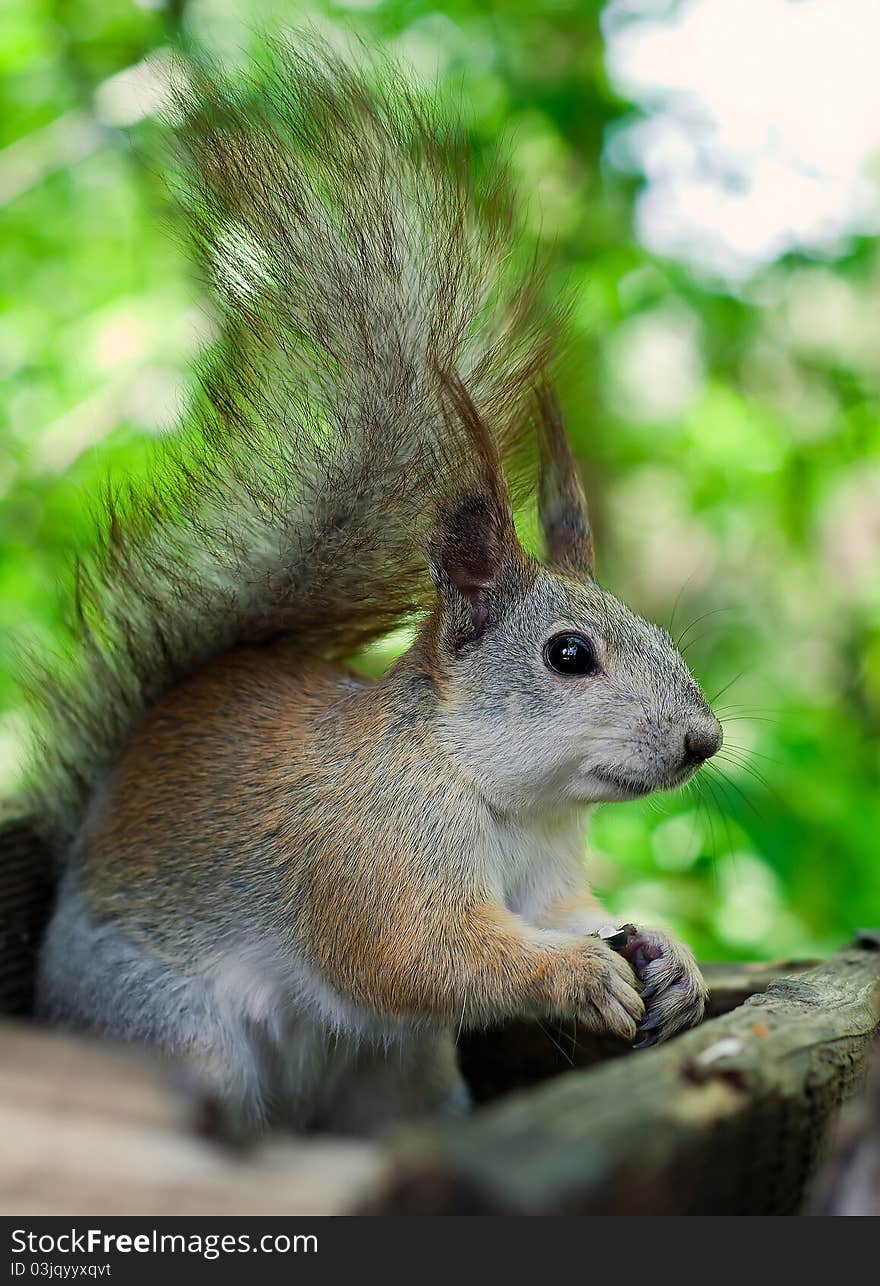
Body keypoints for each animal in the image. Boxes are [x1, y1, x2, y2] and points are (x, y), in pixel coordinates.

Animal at [29, 40, 720, 1131]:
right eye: (569, 655)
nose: (705, 740)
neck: (501, 797)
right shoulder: (373, 855)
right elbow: (417, 953)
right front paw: (575, 976)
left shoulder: (550, 883)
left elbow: (577, 915)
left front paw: (673, 960)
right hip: (168, 1033)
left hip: (400, 1079)